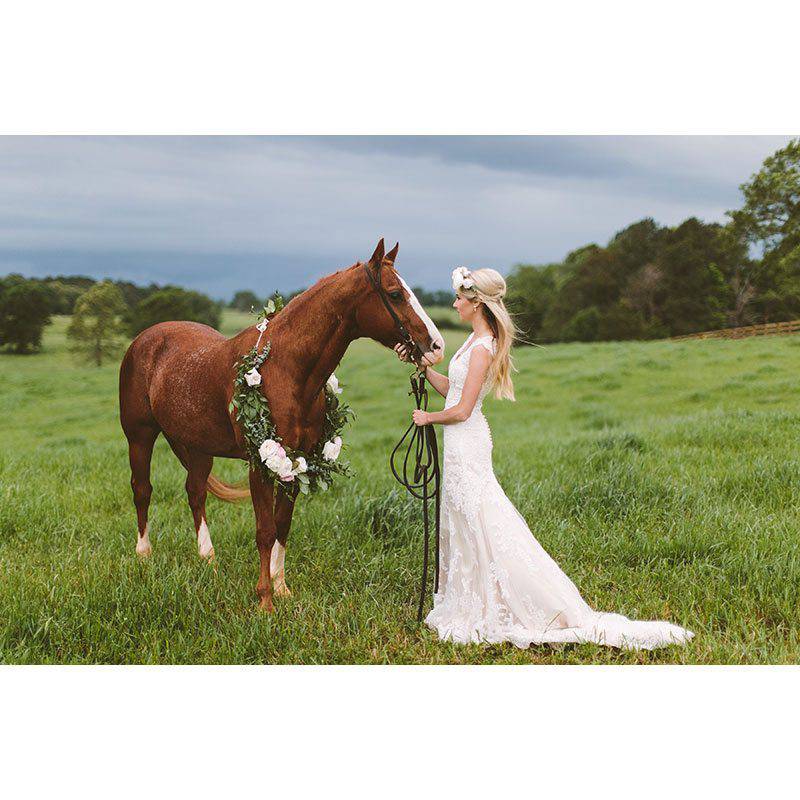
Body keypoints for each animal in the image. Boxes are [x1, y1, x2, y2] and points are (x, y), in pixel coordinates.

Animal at [119, 241, 446, 608]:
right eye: (394, 294)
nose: (436, 346)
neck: (284, 368)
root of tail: (145, 339)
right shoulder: (261, 462)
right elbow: (265, 530)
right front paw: (265, 600)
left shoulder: (295, 459)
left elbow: (282, 525)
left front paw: (281, 587)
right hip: (139, 436)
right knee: (142, 489)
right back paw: (144, 555)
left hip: (198, 445)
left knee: (195, 492)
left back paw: (207, 557)